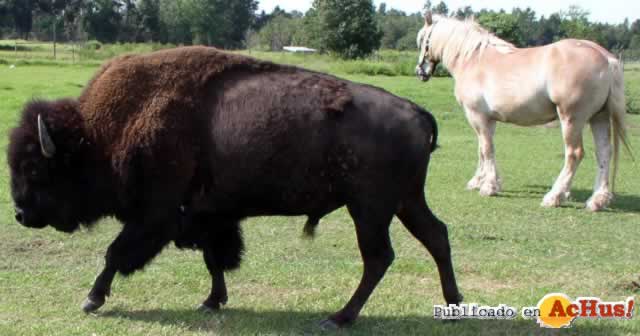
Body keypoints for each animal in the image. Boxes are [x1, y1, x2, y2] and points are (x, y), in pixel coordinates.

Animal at [8, 46, 460, 328]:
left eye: (35, 169)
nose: (20, 213)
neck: (98, 135)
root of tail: (418, 112)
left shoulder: (155, 215)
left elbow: (115, 253)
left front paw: (92, 299)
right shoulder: (208, 215)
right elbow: (215, 259)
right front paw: (212, 301)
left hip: (369, 209)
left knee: (379, 257)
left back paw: (338, 318)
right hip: (405, 201)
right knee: (436, 236)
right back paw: (454, 305)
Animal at [416, 11, 632, 211]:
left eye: (422, 40)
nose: (420, 72)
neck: (473, 59)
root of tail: (606, 59)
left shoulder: (476, 116)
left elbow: (486, 149)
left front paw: (489, 187)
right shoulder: (487, 120)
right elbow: (483, 149)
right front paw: (479, 181)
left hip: (571, 119)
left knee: (574, 154)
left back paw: (554, 196)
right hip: (599, 117)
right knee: (604, 152)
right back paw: (597, 200)